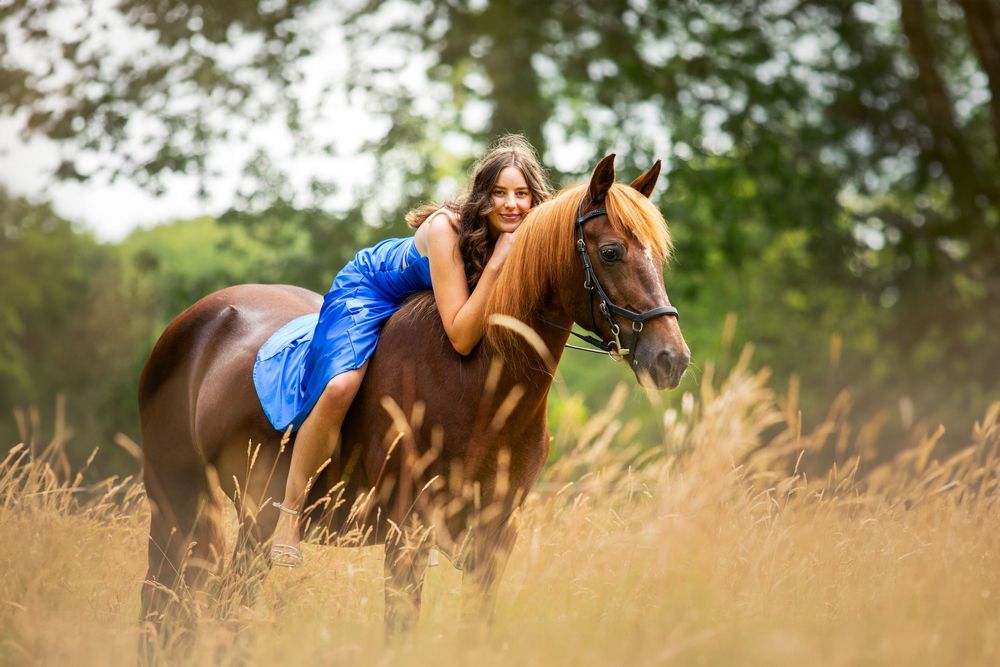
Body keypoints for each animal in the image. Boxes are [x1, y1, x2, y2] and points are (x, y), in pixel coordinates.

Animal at [137, 154, 689, 648]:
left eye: (660, 257)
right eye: (612, 252)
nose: (672, 359)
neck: (477, 381)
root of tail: (199, 318)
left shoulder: (493, 541)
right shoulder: (407, 538)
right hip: (178, 505)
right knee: (165, 608)